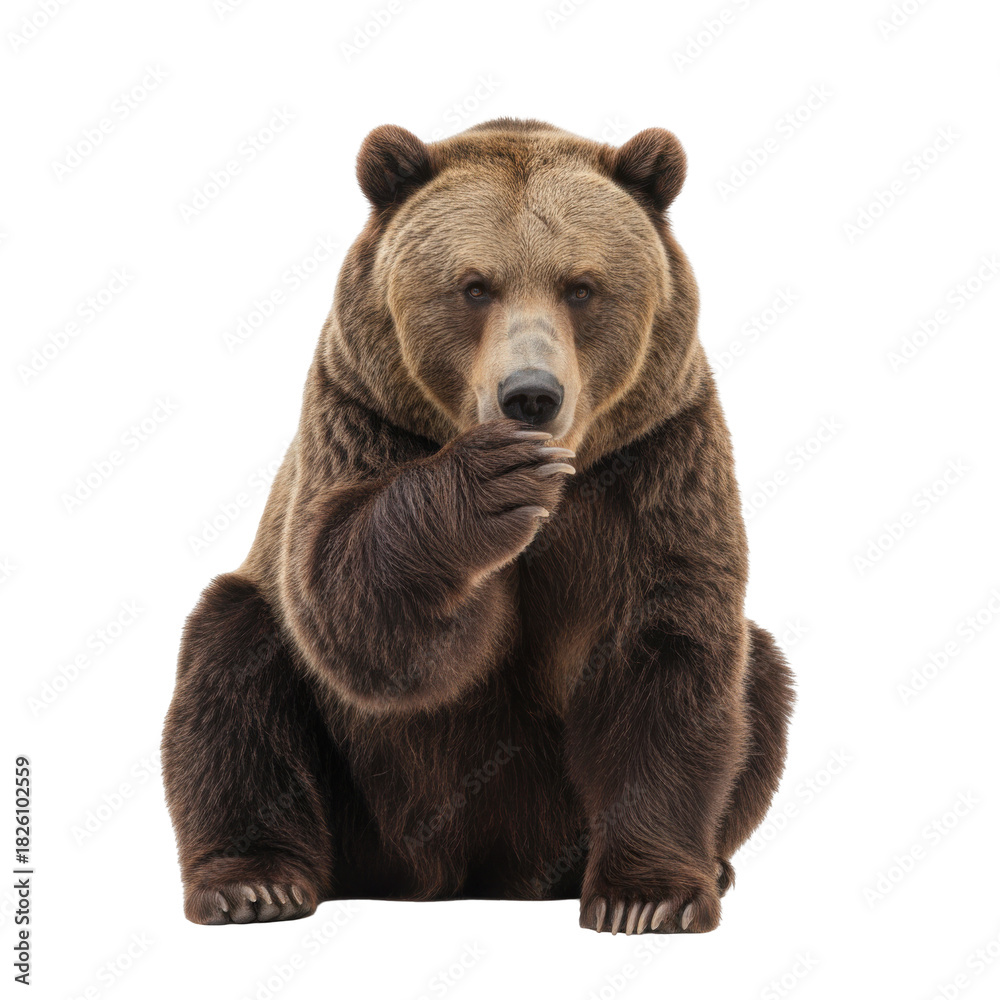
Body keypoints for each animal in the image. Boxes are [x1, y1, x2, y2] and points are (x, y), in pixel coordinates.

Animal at [161, 117, 794, 935]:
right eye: (473, 286)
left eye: (581, 286)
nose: (530, 395)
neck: (565, 480)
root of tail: (466, 876)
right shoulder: (361, 418)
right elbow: (359, 622)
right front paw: (489, 484)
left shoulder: (657, 461)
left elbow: (663, 654)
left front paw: (648, 898)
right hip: (361, 798)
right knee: (232, 663)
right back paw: (254, 883)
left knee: (764, 675)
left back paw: (706, 864)